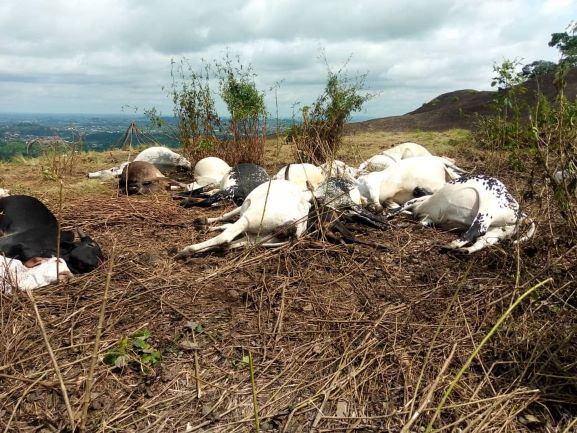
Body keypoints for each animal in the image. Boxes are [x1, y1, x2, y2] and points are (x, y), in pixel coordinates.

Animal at [176, 180, 310, 256]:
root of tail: (295, 227)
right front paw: (204, 224)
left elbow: (226, 216)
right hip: (261, 238)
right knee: (231, 243)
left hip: (249, 220)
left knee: (224, 238)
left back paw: (184, 250)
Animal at [394, 173, 532, 251]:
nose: (416, 188)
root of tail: (521, 213)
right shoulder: (428, 217)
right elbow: (421, 222)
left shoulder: (416, 202)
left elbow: (398, 209)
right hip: (498, 231)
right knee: (482, 242)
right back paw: (464, 251)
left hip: (487, 209)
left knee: (477, 229)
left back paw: (452, 244)